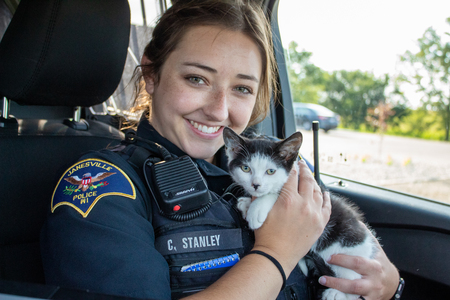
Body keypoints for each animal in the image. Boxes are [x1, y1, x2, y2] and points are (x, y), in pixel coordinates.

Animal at [223, 127, 378, 300]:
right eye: (246, 168)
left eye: (271, 171)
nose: (256, 185)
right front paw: (246, 203)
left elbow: (277, 193)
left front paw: (256, 208)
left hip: (346, 252)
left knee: (354, 282)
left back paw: (336, 293)